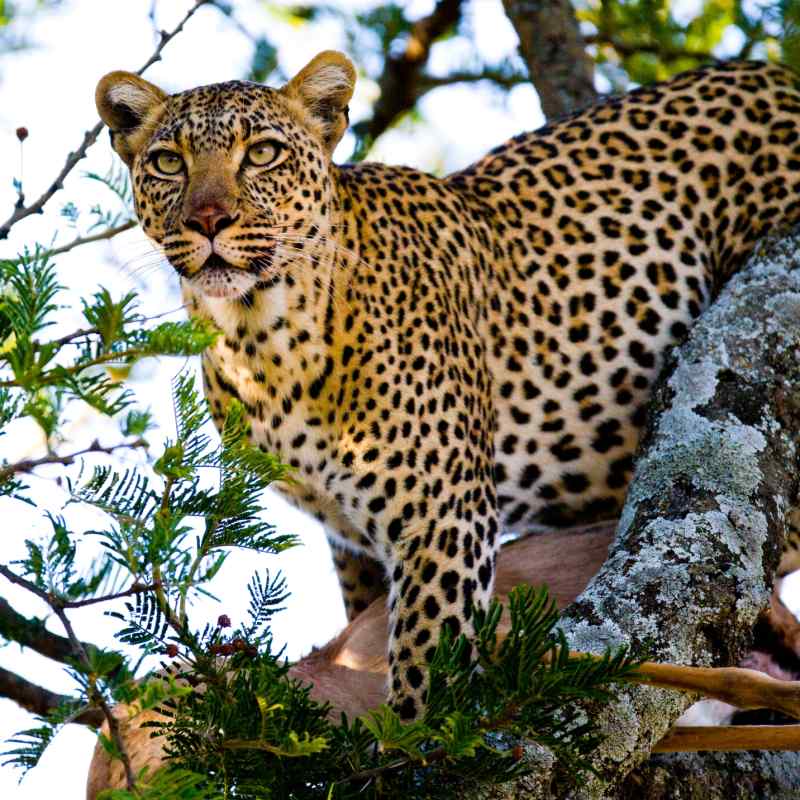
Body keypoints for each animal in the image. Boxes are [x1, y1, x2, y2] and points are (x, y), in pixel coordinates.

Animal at [96, 52, 800, 721]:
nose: (209, 219)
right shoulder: (352, 541)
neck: (262, 342)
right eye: (168, 163)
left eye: (262, 153)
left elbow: (424, 665)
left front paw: (418, 744)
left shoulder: (442, 515)